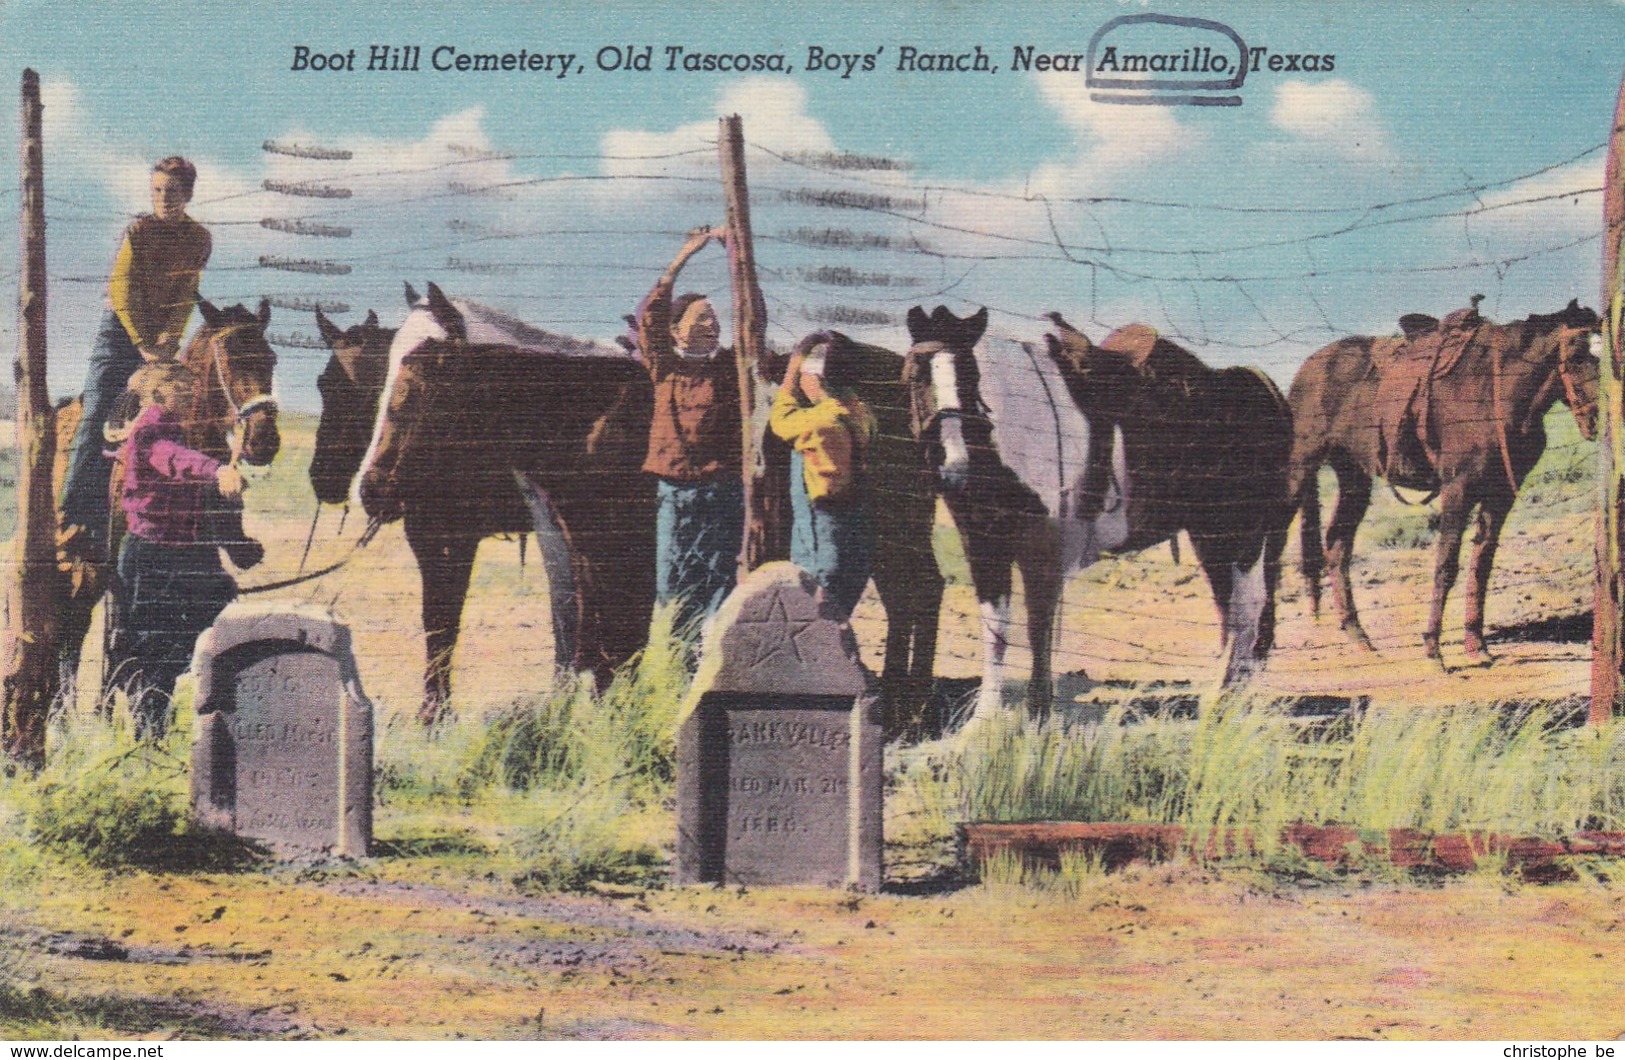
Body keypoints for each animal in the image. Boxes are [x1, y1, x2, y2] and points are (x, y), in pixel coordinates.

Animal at [903, 304, 1293, 721]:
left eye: (971, 376)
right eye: (915, 374)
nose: (952, 467)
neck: (1022, 424)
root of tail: (1261, 386)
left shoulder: (1044, 547)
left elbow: (1038, 627)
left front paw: (1038, 715)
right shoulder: (983, 545)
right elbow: (995, 628)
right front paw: (983, 721)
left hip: (1239, 536)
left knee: (1246, 611)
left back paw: (1225, 700)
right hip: (1210, 537)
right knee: (1232, 609)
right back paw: (1225, 695)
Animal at [1287, 297, 1605, 663]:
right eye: (1576, 354)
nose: (1597, 420)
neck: (1495, 392)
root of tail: (1307, 369)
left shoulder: (1501, 494)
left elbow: (1482, 564)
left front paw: (1476, 646)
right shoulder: (1458, 488)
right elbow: (1446, 564)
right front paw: (1434, 649)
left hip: (1353, 476)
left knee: (1337, 544)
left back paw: (1359, 637)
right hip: (1299, 471)